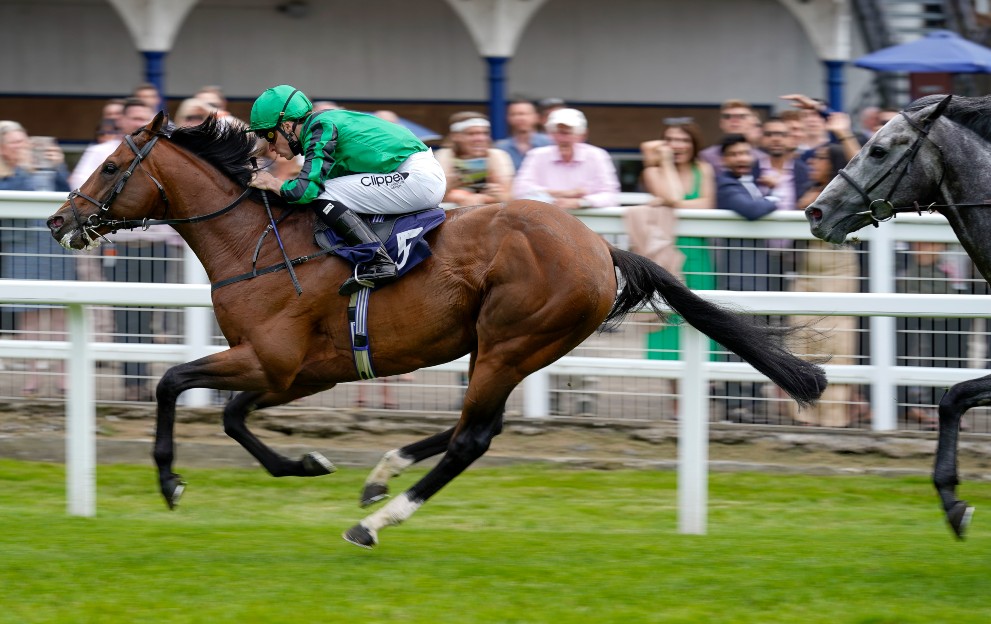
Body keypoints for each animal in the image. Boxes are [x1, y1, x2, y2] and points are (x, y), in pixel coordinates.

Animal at [47, 112, 825, 548]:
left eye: (111, 166)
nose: (59, 221)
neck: (257, 246)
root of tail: (600, 249)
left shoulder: (271, 361)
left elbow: (172, 382)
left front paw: (171, 481)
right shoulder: (296, 373)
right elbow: (234, 417)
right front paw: (306, 463)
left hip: (513, 340)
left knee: (472, 439)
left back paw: (375, 521)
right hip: (502, 347)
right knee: (468, 428)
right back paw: (380, 476)